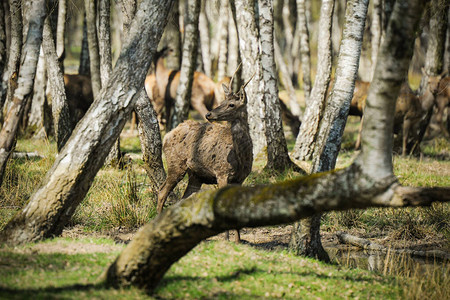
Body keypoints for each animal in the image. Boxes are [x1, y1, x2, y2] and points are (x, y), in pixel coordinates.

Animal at [157, 69, 253, 243]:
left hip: (195, 175)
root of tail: (167, 136)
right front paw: (227, 239)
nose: (209, 114)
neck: (242, 157)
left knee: (182, 199)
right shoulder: (222, 172)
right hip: (176, 165)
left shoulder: (240, 179)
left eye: (231, 104)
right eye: (222, 100)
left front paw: (238, 240)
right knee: (162, 191)